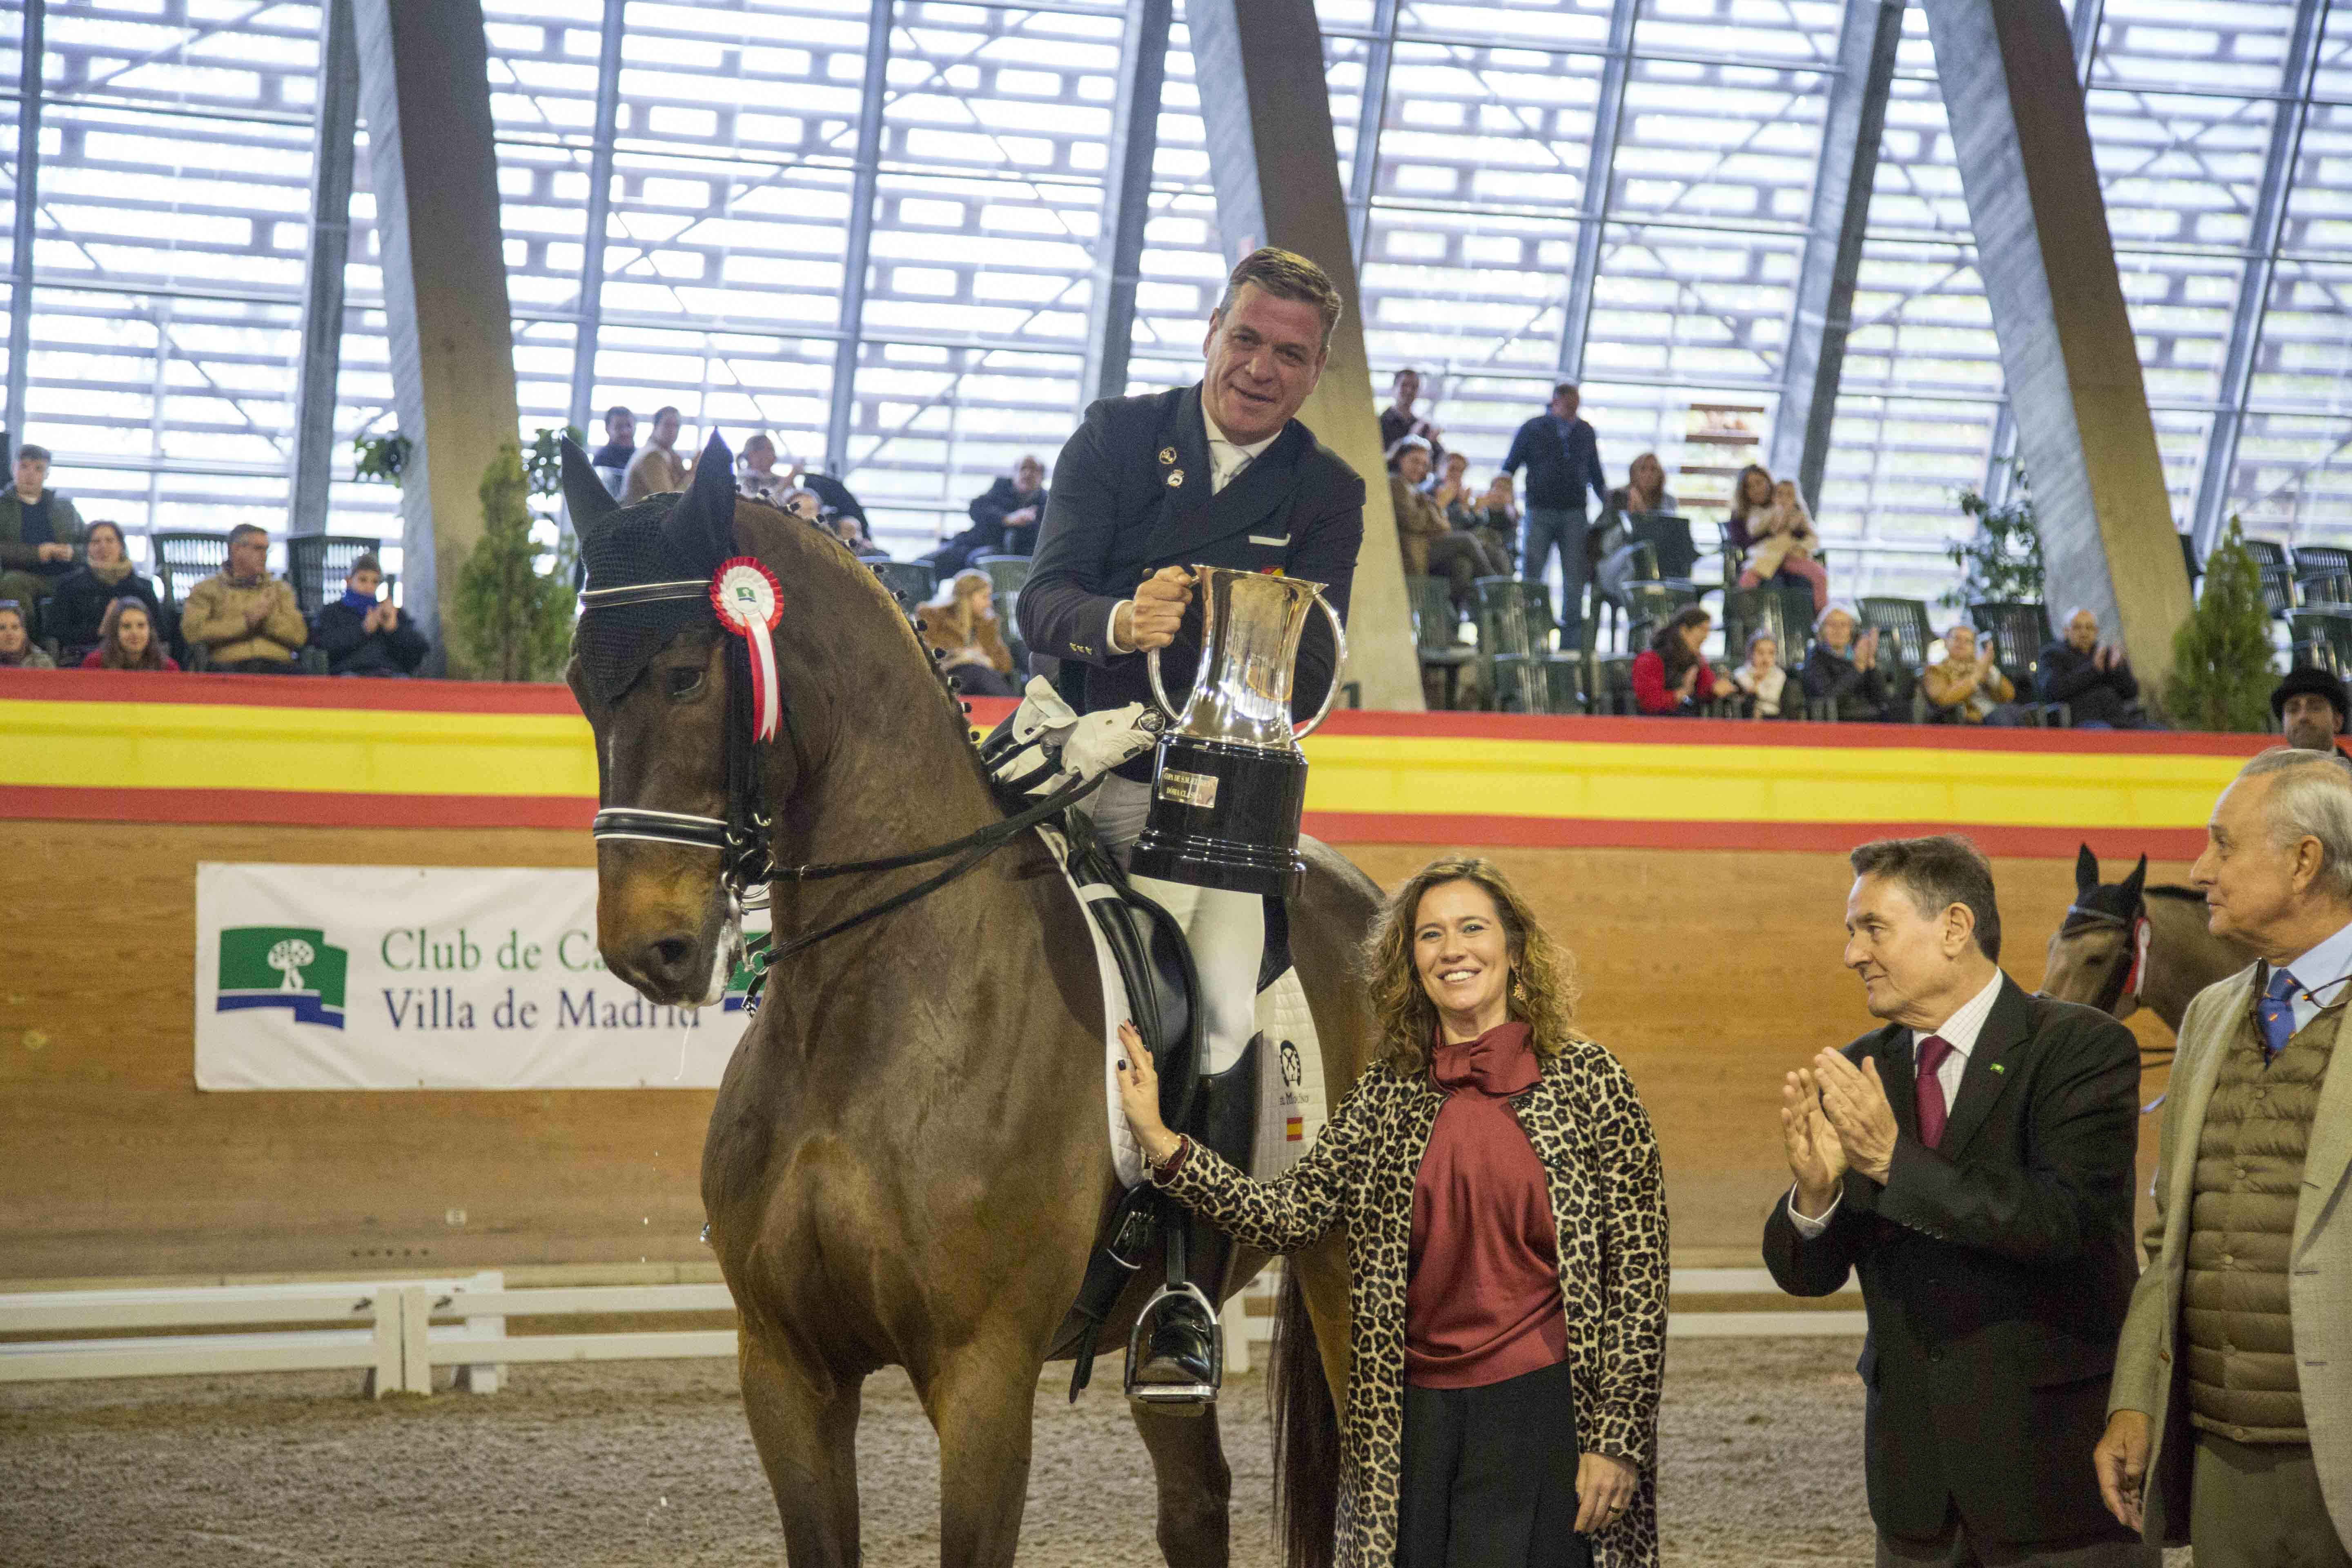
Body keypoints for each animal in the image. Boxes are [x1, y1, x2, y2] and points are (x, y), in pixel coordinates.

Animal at [569, 456, 1373, 1568]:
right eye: (577, 683)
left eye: (687, 675)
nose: (650, 948)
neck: (871, 1019)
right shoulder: (785, 1370)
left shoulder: (982, 1378)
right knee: (1196, 1502)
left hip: (1351, 1276)